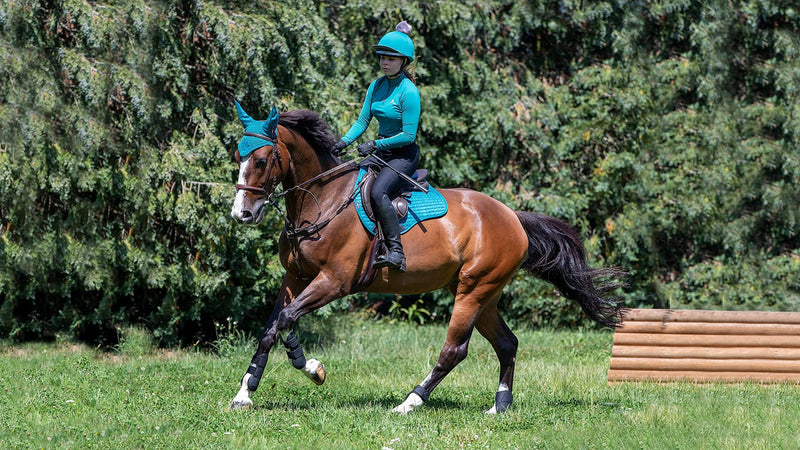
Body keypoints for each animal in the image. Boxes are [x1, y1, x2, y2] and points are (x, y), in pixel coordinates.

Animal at [225, 103, 624, 414]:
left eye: (262, 159)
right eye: (239, 157)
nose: (242, 214)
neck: (322, 201)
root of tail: (513, 217)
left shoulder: (335, 282)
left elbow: (285, 320)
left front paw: (308, 367)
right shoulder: (295, 277)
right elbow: (274, 326)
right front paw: (248, 391)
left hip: (473, 291)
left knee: (455, 349)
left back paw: (410, 402)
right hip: (484, 295)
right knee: (507, 343)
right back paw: (500, 405)